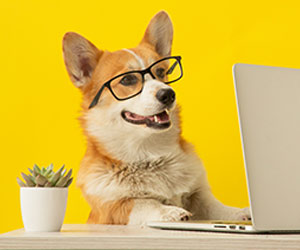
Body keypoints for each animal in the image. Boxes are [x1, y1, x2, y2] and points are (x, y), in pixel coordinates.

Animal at [62, 10, 250, 225]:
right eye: (128, 79)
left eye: (160, 71)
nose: (168, 94)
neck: (149, 153)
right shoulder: (114, 208)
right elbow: (144, 203)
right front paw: (170, 211)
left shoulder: (197, 194)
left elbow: (215, 206)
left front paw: (239, 213)